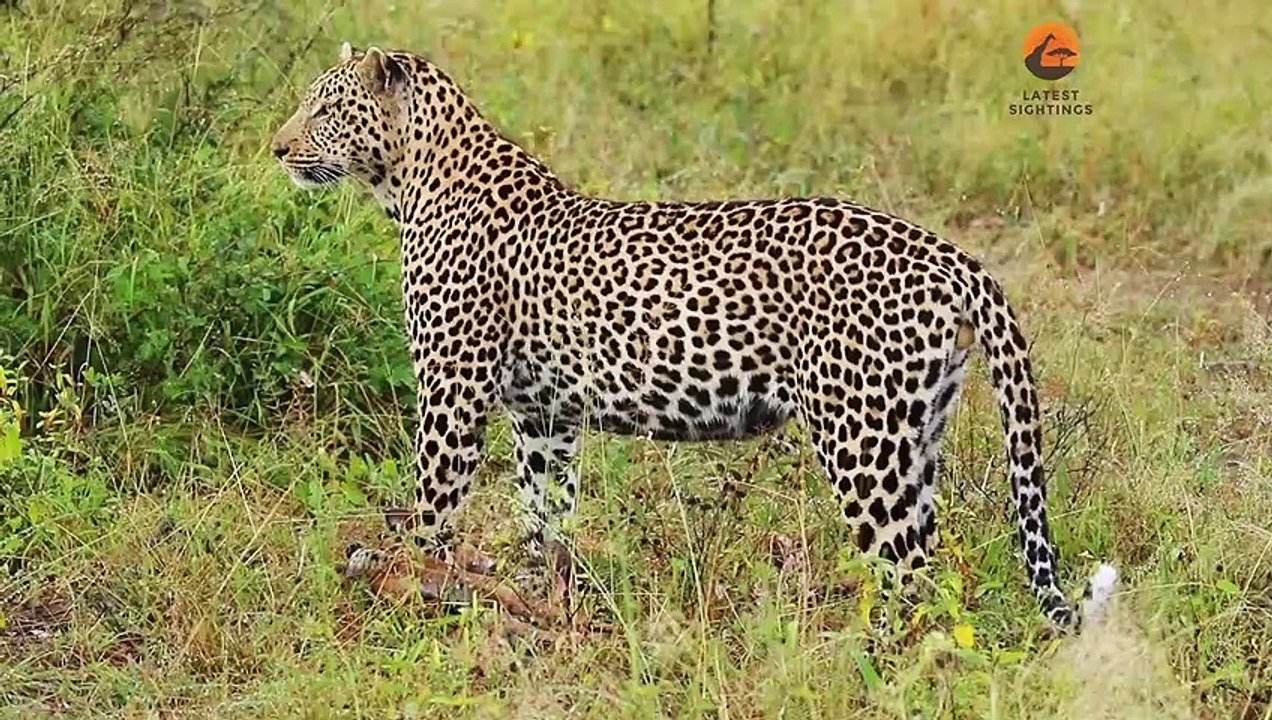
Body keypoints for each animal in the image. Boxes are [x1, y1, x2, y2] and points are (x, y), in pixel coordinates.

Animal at [270, 43, 1118, 632]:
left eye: (325, 109)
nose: (276, 147)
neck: (410, 183)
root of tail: (949, 253)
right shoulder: (543, 415)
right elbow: (545, 513)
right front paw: (538, 596)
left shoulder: (452, 389)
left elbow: (435, 507)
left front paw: (419, 593)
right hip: (919, 434)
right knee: (931, 560)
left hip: (863, 439)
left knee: (906, 566)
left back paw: (876, 658)